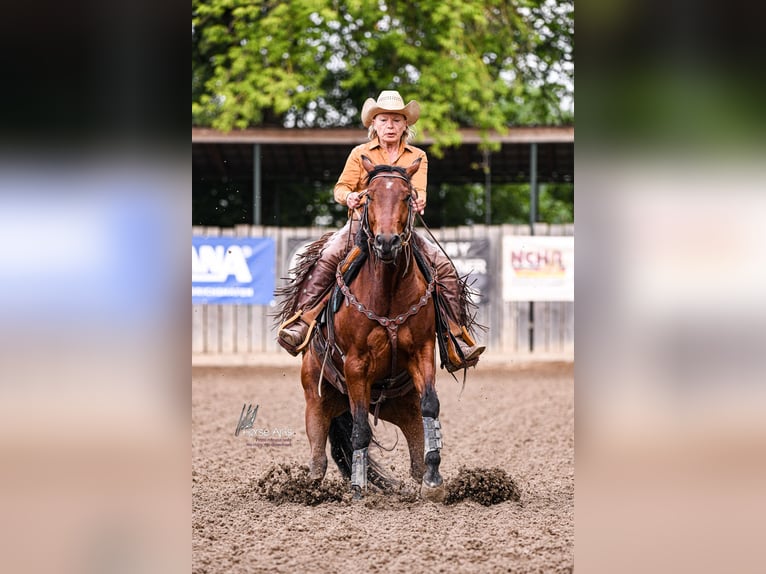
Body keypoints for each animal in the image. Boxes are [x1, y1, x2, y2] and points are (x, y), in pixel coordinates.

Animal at [279, 155, 447, 500]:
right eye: (369, 196)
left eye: (407, 197)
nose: (387, 242)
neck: (388, 291)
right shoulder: (356, 365)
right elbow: (360, 430)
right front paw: (358, 489)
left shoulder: (422, 352)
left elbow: (431, 406)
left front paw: (435, 479)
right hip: (317, 400)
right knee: (319, 458)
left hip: (402, 405)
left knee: (415, 451)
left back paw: (422, 477)